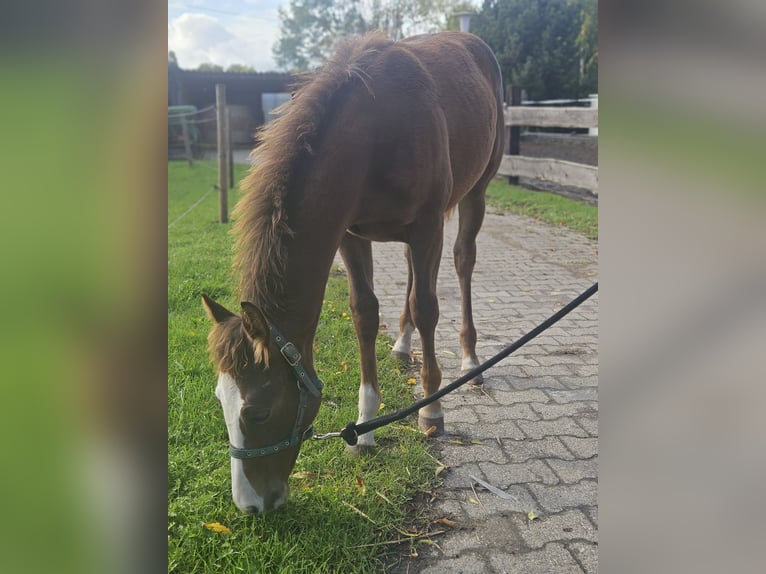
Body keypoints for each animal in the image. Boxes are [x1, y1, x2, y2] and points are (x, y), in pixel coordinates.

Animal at [202, 31, 504, 513]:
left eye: (257, 411)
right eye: (219, 400)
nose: (250, 505)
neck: (376, 130)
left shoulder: (427, 226)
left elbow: (427, 308)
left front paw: (431, 411)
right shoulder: (349, 234)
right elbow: (364, 312)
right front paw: (365, 426)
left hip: (475, 193)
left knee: (462, 261)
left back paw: (471, 359)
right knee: (410, 273)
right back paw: (401, 343)